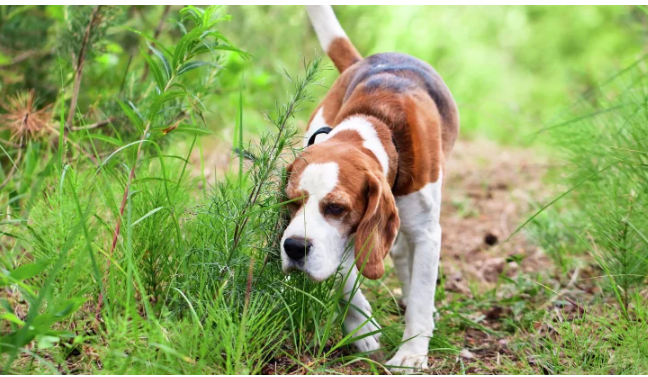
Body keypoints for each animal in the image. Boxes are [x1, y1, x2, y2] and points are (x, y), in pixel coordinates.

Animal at [280, 5, 458, 374]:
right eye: (291, 202)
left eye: (336, 207)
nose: (293, 248)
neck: (375, 124)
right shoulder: (345, 237)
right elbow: (345, 277)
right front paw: (362, 329)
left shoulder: (427, 233)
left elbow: (421, 295)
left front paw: (411, 353)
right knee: (399, 253)